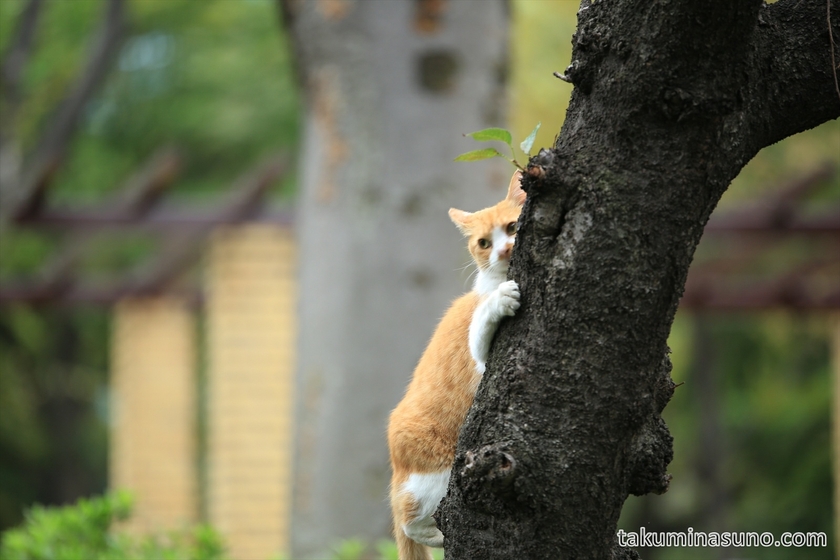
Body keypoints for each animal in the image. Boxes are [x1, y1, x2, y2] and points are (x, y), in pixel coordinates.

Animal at [388, 171, 524, 560]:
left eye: (512, 227)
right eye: (483, 243)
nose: (503, 250)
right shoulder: (479, 353)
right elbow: (482, 322)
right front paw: (499, 299)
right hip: (440, 471)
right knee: (408, 518)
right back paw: (435, 533)